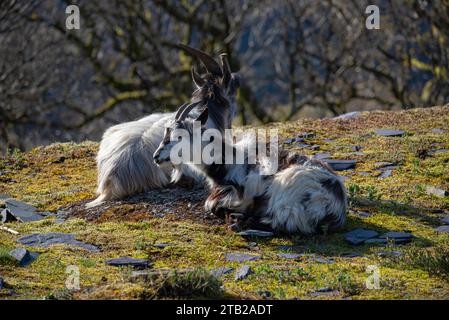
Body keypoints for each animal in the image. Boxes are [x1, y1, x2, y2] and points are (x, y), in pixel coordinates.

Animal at [153, 106, 346, 234]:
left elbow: (211, 205)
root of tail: (335, 205)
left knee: (278, 223)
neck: (229, 161)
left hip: (287, 190)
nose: (156, 156)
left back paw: (239, 221)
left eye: (179, 136)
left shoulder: (240, 193)